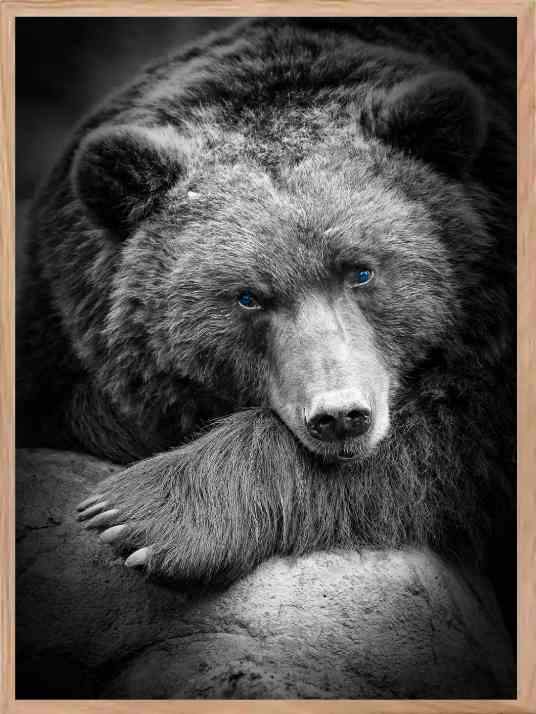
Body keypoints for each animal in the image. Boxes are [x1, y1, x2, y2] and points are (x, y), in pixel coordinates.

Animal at [17, 19, 516, 627]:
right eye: (248, 298)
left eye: (362, 271)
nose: (341, 416)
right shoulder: (55, 323)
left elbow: (450, 434)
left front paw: (144, 512)